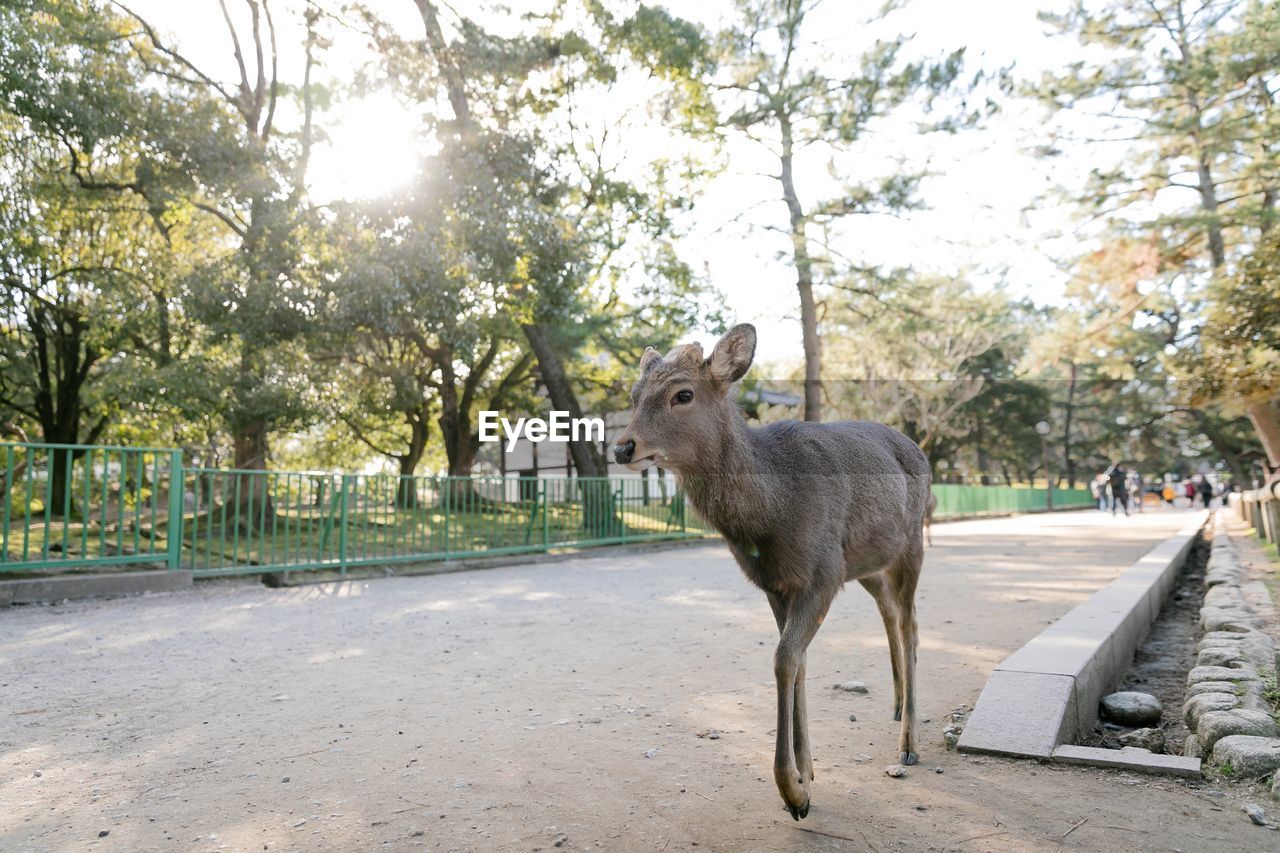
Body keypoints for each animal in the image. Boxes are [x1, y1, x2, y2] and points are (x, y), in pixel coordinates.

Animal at [611, 322, 931, 814]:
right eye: (633, 393)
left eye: (683, 394)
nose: (623, 447)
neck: (773, 513)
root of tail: (920, 449)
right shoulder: (775, 584)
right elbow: (797, 662)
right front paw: (807, 772)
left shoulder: (822, 573)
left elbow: (784, 660)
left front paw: (794, 790)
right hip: (866, 564)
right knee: (890, 612)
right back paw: (895, 704)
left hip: (911, 542)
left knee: (912, 623)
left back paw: (909, 742)